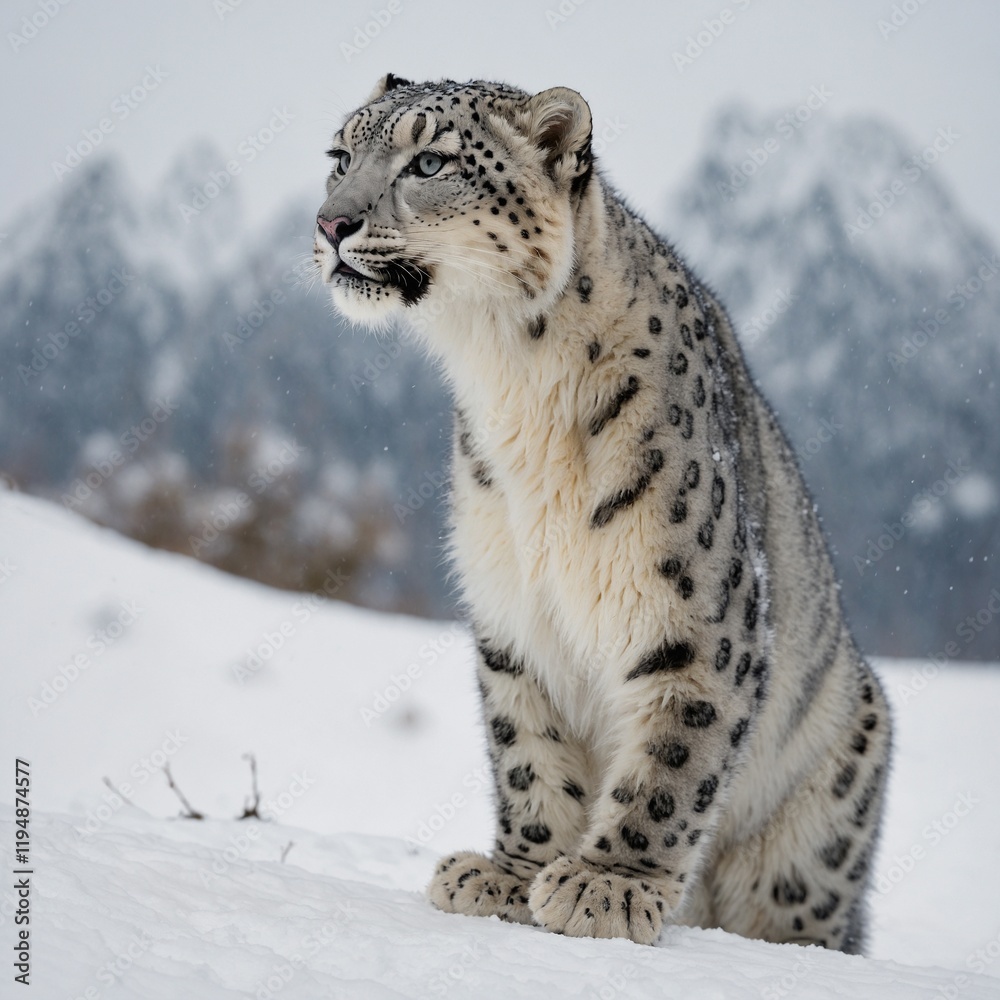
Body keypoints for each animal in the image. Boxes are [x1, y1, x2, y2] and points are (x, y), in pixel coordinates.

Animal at [314, 73, 892, 953]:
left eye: (431, 161)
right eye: (339, 156)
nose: (330, 222)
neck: (508, 382)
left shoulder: (692, 615)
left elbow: (673, 758)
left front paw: (609, 886)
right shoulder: (514, 609)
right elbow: (526, 749)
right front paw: (511, 874)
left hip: (813, 833)